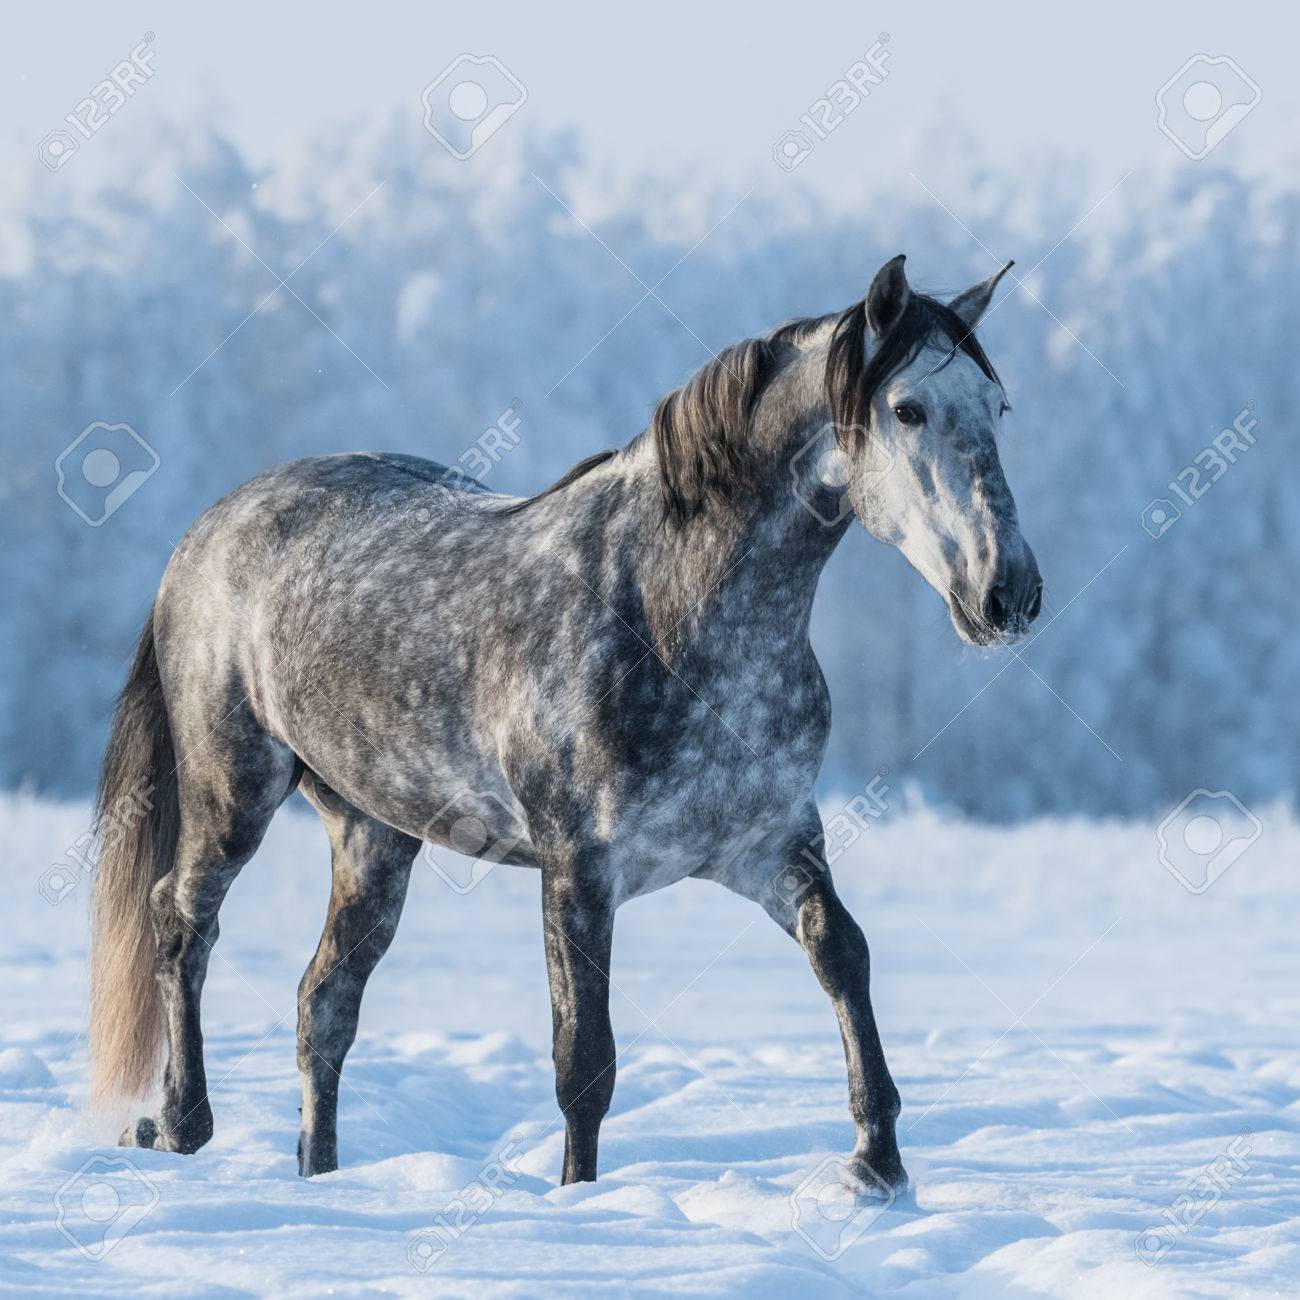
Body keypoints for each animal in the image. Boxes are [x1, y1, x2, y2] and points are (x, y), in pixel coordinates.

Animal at [88, 253, 1041, 1194]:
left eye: (998, 408)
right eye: (908, 409)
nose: (1010, 593)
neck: (670, 610)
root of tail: (206, 532)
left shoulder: (768, 845)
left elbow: (843, 954)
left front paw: (877, 1163)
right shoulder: (579, 867)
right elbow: (584, 1058)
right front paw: (579, 1201)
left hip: (372, 835)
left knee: (323, 1003)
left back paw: (317, 1175)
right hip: (234, 790)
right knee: (182, 921)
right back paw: (182, 1123)